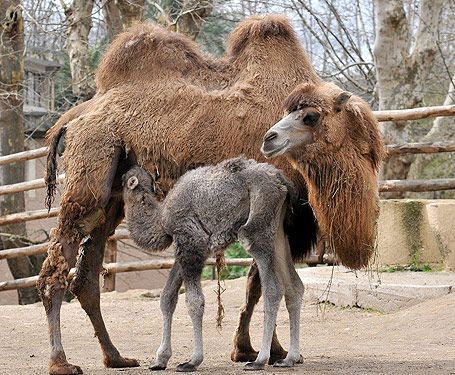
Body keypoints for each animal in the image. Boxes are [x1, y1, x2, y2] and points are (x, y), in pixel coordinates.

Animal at [123, 157, 304, 372]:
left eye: (123, 178)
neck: (161, 219)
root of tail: (281, 182)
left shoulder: (191, 241)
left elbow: (194, 301)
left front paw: (192, 361)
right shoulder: (187, 249)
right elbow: (167, 298)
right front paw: (160, 360)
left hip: (258, 223)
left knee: (273, 288)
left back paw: (259, 360)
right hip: (278, 231)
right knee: (294, 286)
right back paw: (288, 359)